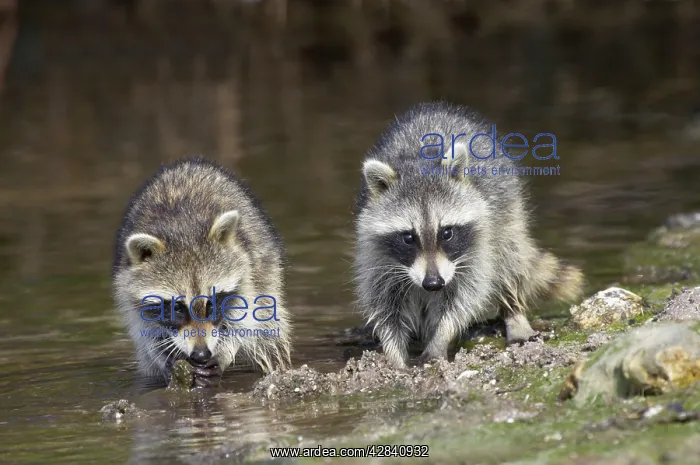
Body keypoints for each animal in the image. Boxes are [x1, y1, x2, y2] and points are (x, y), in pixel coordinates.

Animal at [112, 158, 291, 387]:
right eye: (177, 308)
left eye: (212, 303)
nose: (201, 355)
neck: (181, 230)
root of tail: (189, 163)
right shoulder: (127, 287)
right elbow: (145, 332)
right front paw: (163, 355)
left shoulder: (246, 270)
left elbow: (247, 320)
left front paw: (223, 353)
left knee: (268, 332)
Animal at [353, 102, 583, 369]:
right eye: (408, 237)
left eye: (446, 233)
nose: (433, 283)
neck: (418, 164)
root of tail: (438, 107)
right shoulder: (375, 253)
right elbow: (384, 303)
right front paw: (395, 357)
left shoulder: (479, 242)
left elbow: (466, 296)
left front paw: (440, 339)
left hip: (508, 215)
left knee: (509, 260)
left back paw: (514, 314)